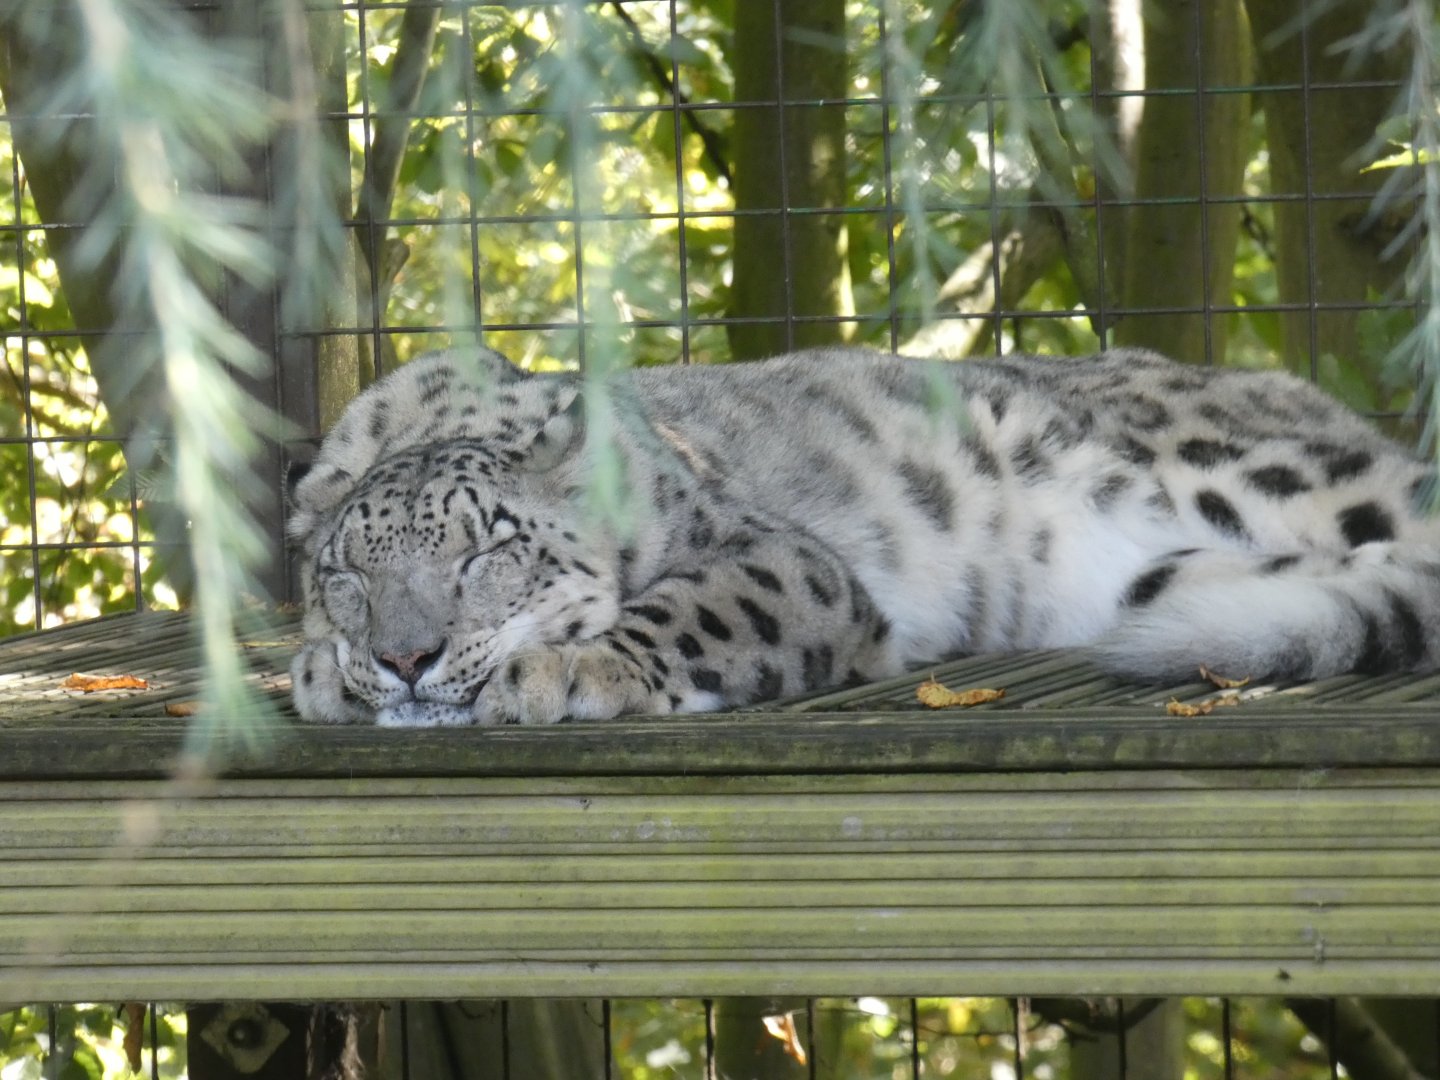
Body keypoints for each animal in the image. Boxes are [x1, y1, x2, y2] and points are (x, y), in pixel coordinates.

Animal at [288, 345, 1440, 726]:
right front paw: (320, 672)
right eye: (347, 573)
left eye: (485, 550)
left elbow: (690, 608)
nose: (405, 658)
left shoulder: (782, 561)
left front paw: (567, 671)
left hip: (1280, 470)